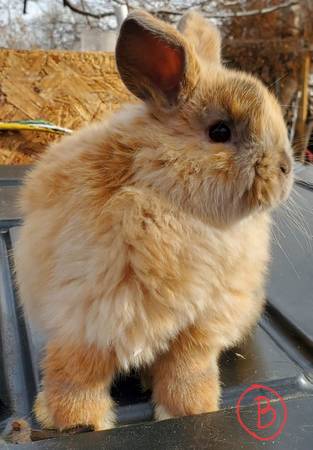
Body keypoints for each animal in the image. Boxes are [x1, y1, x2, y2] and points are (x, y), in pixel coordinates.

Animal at [14, 9, 292, 432]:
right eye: (220, 131)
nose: (286, 169)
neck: (165, 196)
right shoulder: (85, 313)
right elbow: (77, 369)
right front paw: (74, 421)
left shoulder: (202, 320)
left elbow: (186, 366)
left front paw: (189, 409)